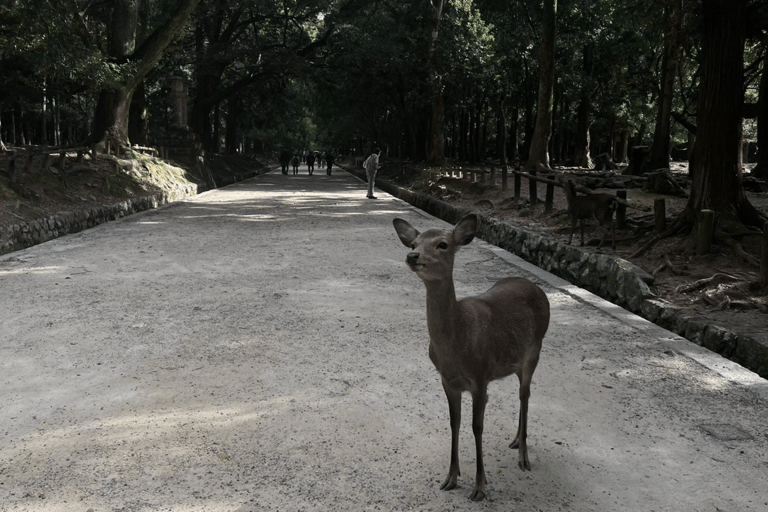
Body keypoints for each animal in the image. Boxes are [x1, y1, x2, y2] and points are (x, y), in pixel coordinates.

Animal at [392, 214, 548, 502]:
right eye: (415, 242)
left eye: (442, 244)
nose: (412, 256)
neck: (456, 347)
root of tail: (536, 287)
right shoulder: (448, 380)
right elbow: (454, 423)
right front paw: (451, 478)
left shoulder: (480, 377)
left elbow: (477, 427)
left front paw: (480, 487)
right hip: (515, 360)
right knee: (522, 394)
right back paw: (515, 441)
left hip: (536, 349)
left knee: (525, 394)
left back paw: (524, 457)